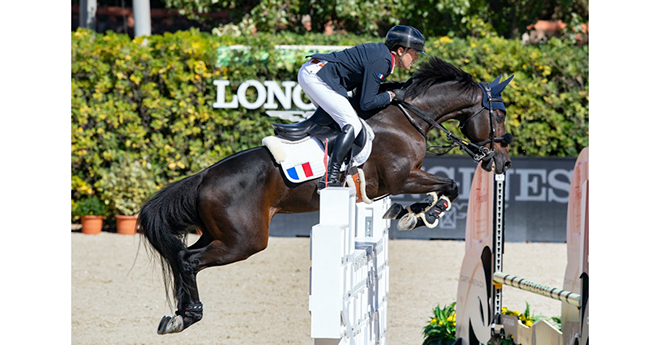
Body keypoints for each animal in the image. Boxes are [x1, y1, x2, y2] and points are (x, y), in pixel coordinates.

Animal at [137, 56, 512, 334]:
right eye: (499, 115)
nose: (503, 161)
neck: (405, 118)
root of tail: (203, 177)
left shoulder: (400, 181)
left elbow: (438, 188)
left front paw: (411, 213)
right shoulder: (401, 178)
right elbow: (449, 185)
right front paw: (423, 214)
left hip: (222, 234)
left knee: (183, 257)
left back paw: (180, 315)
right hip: (244, 241)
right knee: (190, 260)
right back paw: (190, 315)